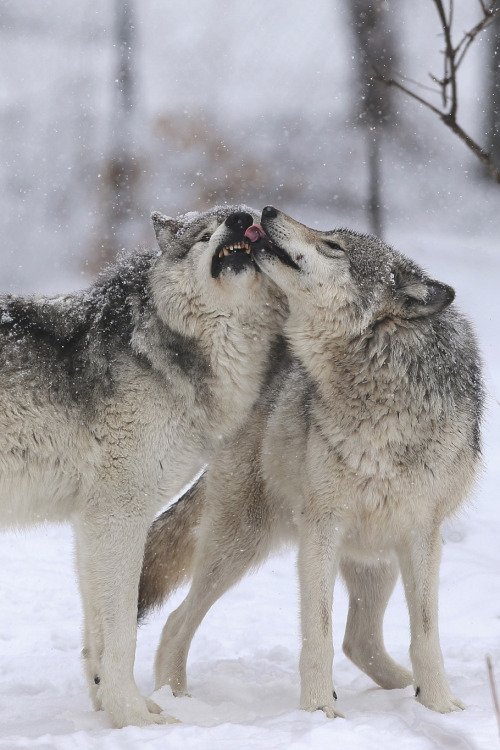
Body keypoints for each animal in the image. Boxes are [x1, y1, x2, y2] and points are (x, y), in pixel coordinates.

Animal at [0, 206, 286, 728]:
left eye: (248, 216)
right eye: (205, 231)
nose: (242, 218)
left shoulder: (92, 523)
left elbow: (97, 637)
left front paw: (108, 713)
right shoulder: (119, 515)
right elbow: (122, 635)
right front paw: (135, 717)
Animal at [139, 206, 483, 719]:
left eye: (333, 246)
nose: (267, 211)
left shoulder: (422, 535)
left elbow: (425, 634)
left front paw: (439, 706)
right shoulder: (322, 528)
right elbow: (317, 633)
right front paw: (320, 711)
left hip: (375, 556)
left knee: (359, 640)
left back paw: (409, 690)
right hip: (241, 545)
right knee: (178, 621)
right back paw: (173, 697)